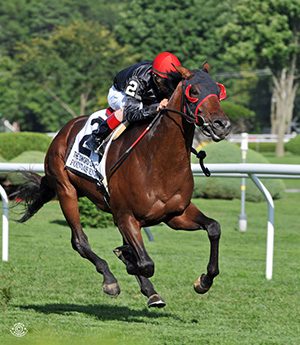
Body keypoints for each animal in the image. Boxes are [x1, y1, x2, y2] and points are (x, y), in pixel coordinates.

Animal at [15, 64, 232, 306]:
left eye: (218, 91)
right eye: (193, 91)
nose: (222, 125)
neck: (158, 161)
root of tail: (64, 130)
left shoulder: (175, 215)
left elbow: (213, 228)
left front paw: (203, 281)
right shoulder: (126, 216)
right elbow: (145, 263)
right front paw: (126, 259)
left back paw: (151, 291)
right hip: (66, 190)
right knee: (79, 241)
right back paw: (110, 279)